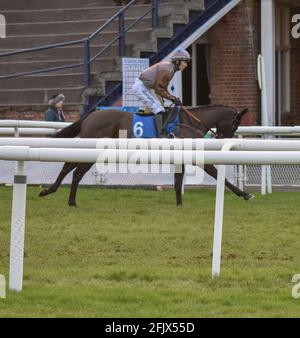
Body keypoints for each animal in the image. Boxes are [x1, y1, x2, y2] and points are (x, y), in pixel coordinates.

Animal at [38, 105, 252, 206]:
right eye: (235, 124)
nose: (224, 140)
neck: (190, 122)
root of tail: (90, 116)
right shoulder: (194, 156)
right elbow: (217, 175)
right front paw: (244, 194)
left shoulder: (180, 157)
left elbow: (177, 182)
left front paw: (179, 205)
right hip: (91, 148)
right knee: (71, 167)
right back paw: (50, 192)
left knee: (74, 170)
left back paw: (67, 199)